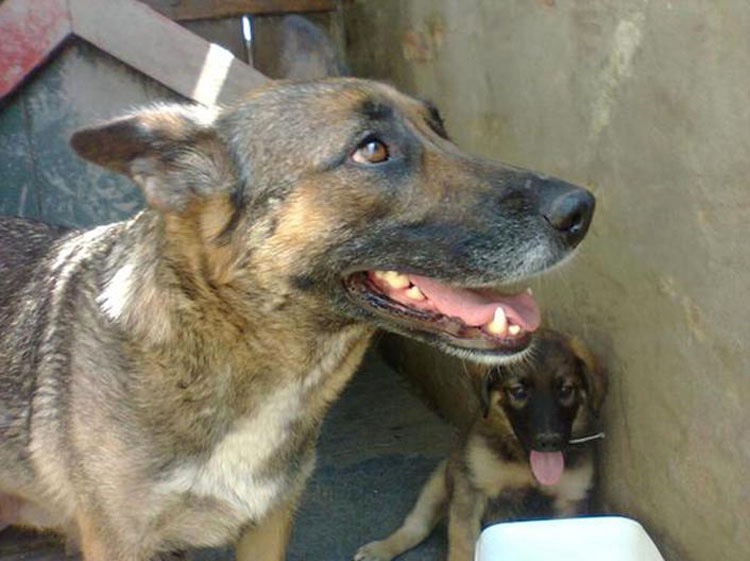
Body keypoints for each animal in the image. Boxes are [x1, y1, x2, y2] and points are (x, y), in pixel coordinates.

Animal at [356, 328, 608, 560]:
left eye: (566, 389)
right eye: (518, 391)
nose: (549, 441)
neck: (525, 464)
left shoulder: (570, 501)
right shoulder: (470, 490)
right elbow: (463, 544)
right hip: (440, 479)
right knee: (416, 526)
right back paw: (380, 549)